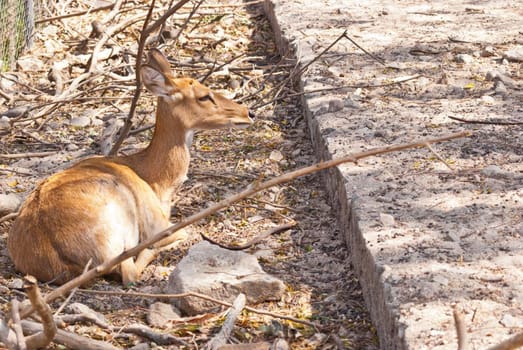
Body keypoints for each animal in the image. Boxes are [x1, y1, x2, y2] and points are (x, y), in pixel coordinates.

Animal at [7, 48, 255, 284]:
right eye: (204, 96)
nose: (248, 113)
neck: (156, 181)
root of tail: (59, 261)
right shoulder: (158, 222)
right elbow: (184, 231)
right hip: (119, 230)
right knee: (129, 271)